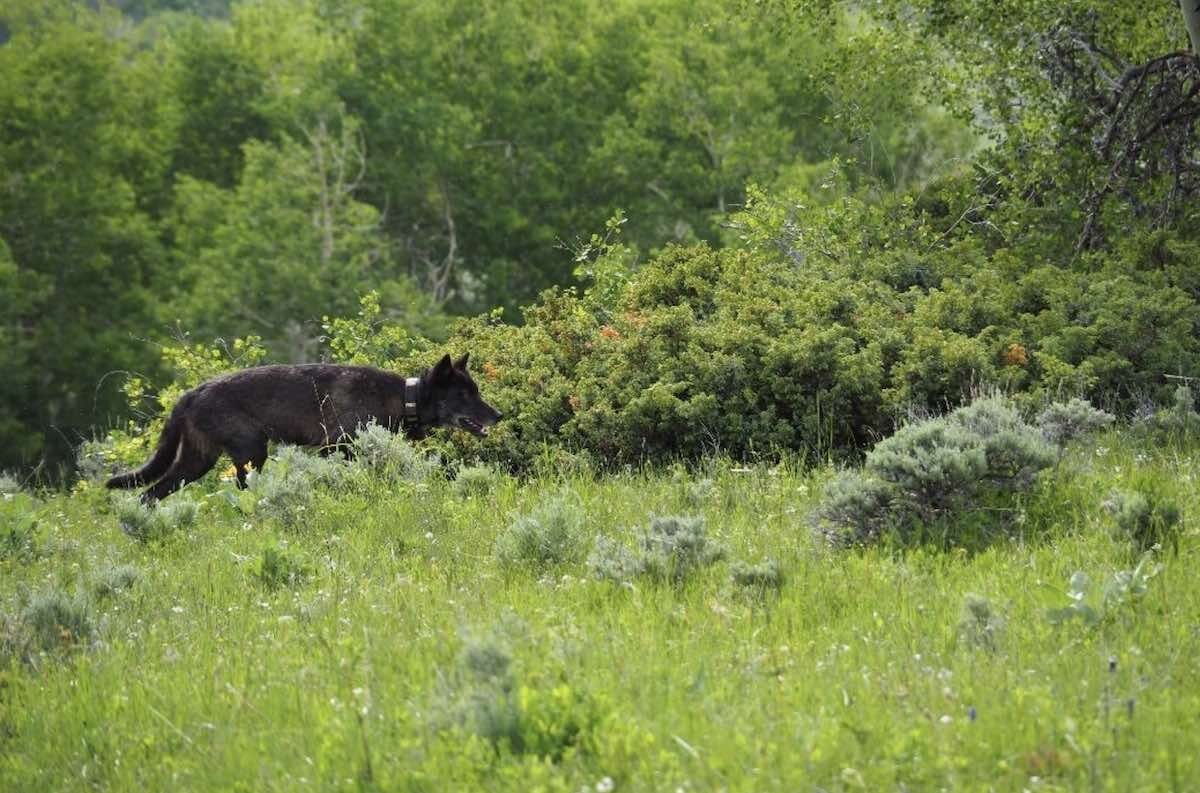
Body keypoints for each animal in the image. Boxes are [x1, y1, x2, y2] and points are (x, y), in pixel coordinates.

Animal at [105, 353, 501, 502]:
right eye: (465, 394)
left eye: (476, 391)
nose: (498, 415)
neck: (403, 397)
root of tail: (189, 394)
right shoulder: (333, 449)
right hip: (251, 452)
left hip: (195, 462)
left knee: (148, 494)